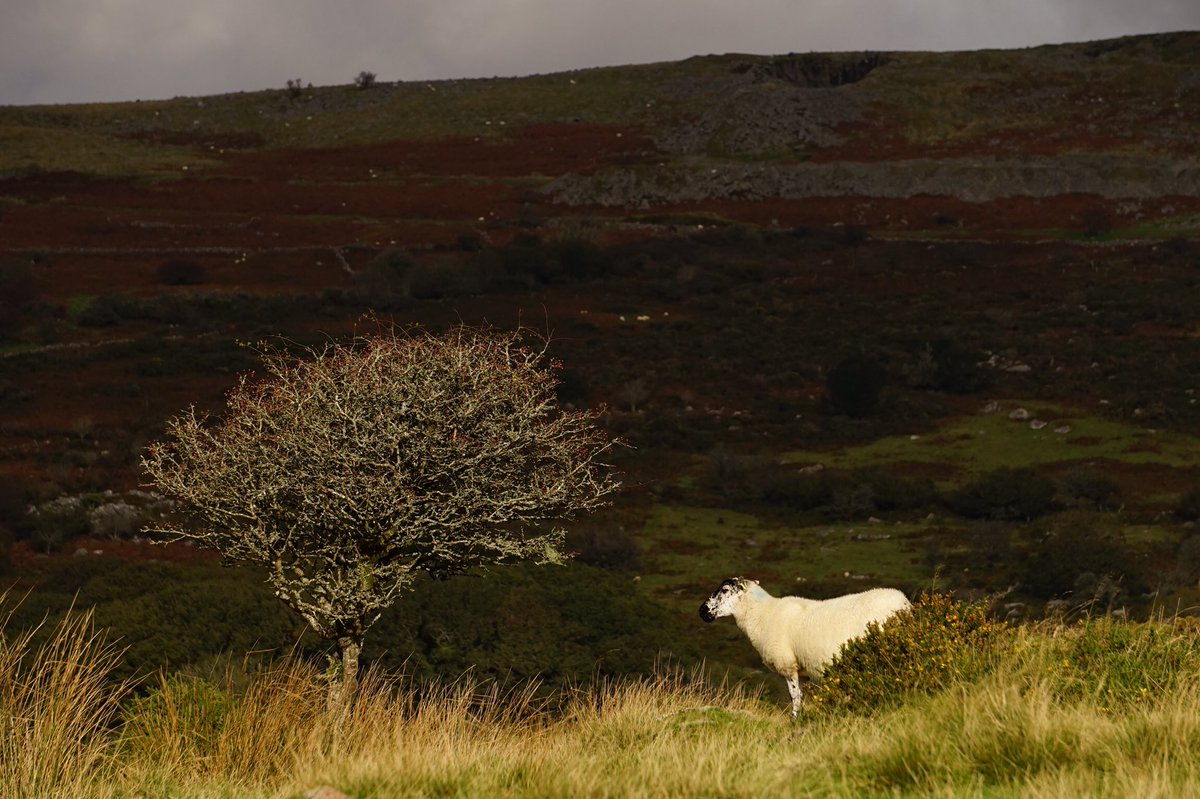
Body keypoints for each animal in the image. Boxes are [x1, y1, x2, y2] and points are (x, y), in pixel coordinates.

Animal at [699, 577, 911, 717]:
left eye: (725, 590)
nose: (702, 611)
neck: (763, 614)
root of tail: (904, 603)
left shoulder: (788, 665)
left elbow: (794, 696)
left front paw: (794, 718)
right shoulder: (803, 671)